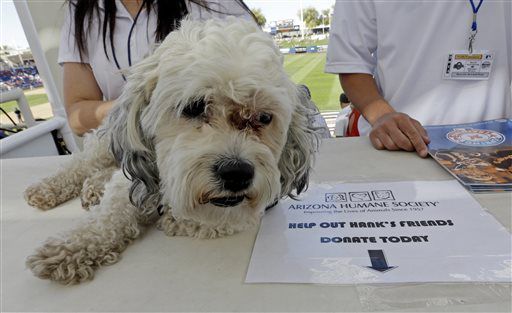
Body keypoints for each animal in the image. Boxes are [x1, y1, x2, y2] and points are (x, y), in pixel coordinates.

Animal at [26, 17, 320, 286]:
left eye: (264, 117)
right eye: (194, 107)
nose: (237, 174)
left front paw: (177, 219)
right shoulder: (127, 185)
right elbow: (108, 216)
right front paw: (70, 248)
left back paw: (93, 188)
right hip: (103, 143)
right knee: (81, 164)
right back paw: (47, 189)